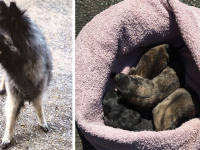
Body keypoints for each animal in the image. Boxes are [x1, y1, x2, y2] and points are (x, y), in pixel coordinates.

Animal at [0, 1, 52, 148]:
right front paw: (7, 138)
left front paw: (42, 123)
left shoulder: (39, 93)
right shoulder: (13, 99)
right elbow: (11, 120)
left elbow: (39, 109)